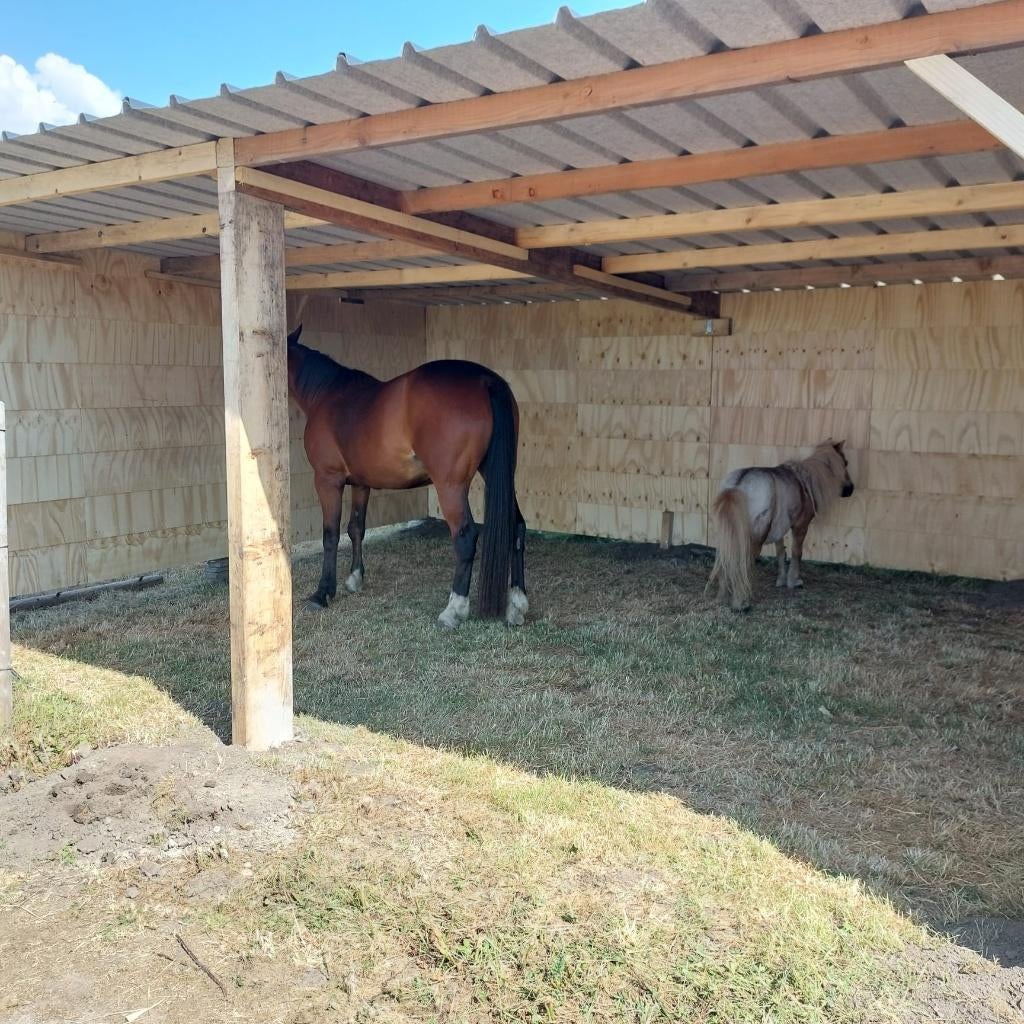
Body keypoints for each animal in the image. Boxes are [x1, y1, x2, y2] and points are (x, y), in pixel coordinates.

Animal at [285, 325, 528, 629]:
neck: (327, 394)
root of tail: (486, 381)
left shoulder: (327, 480)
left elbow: (330, 535)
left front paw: (322, 593)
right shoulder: (361, 484)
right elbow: (356, 528)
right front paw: (354, 579)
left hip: (450, 486)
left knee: (465, 536)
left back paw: (454, 609)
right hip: (502, 475)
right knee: (517, 527)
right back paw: (516, 604)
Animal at [708, 440, 855, 611]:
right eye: (845, 463)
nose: (850, 489)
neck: (806, 482)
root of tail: (738, 485)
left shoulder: (779, 529)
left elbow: (780, 552)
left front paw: (781, 580)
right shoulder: (800, 526)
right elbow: (797, 553)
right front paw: (793, 581)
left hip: (725, 536)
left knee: (724, 560)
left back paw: (721, 598)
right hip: (755, 538)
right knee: (744, 563)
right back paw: (741, 602)